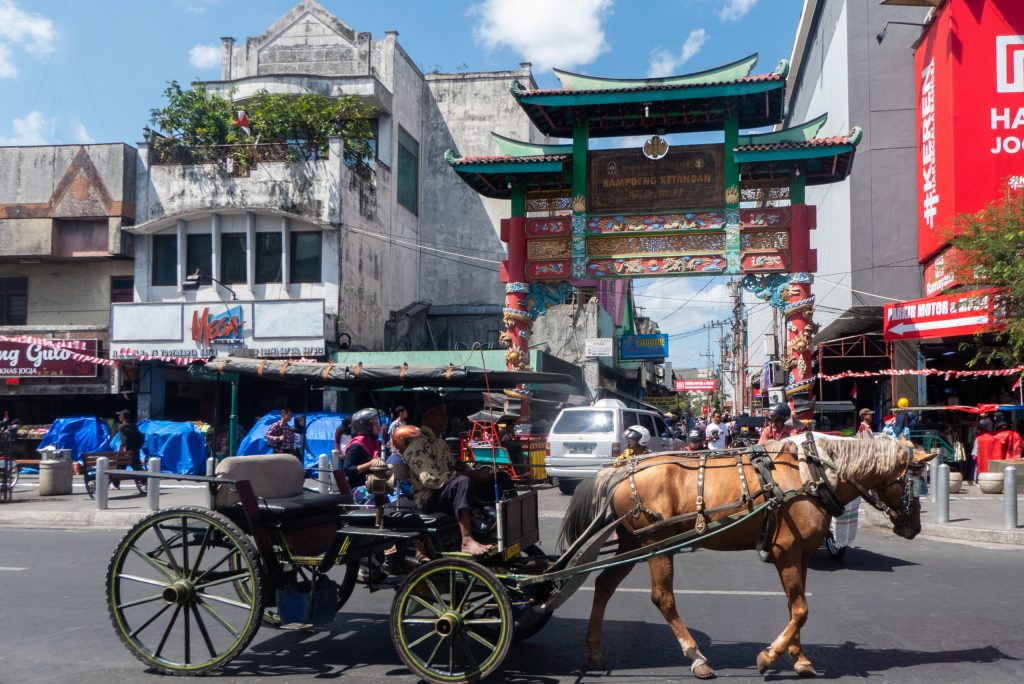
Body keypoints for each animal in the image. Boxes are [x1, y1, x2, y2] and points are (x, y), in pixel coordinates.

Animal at [561, 438, 937, 679]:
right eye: (919, 481)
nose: (914, 527)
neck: (812, 476)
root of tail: (619, 471)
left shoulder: (799, 555)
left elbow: (795, 607)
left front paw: (799, 659)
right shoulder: (787, 553)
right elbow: (801, 609)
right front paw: (769, 657)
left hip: (632, 543)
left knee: (604, 584)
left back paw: (594, 652)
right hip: (655, 543)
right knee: (662, 598)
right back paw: (696, 657)